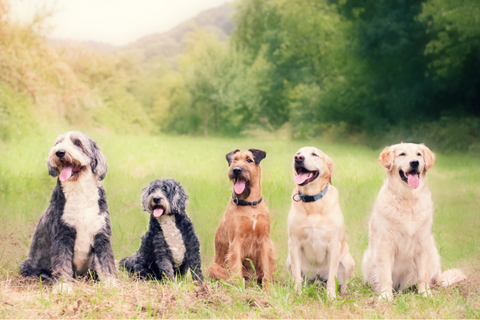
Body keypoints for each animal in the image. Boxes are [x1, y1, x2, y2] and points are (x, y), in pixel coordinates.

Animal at [19, 130, 117, 292]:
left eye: (77, 143)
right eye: (58, 143)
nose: (59, 152)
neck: (79, 190)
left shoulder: (101, 234)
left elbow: (106, 262)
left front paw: (111, 284)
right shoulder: (62, 235)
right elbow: (62, 264)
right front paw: (63, 288)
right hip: (27, 264)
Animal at [209, 149, 276, 284]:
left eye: (249, 160)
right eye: (234, 160)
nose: (236, 170)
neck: (250, 204)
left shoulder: (265, 240)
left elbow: (267, 270)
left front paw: (269, 288)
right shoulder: (236, 241)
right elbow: (236, 268)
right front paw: (239, 287)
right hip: (213, 267)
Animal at [284, 148, 356, 300]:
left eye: (314, 154)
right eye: (298, 152)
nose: (298, 158)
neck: (312, 201)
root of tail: (317, 278)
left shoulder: (334, 244)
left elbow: (332, 277)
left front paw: (331, 297)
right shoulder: (294, 243)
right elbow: (296, 275)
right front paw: (297, 293)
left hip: (347, 260)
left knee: (343, 282)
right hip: (289, 260)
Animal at [362, 142, 466, 300]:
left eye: (419, 154)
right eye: (402, 154)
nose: (415, 162)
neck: (407, 197)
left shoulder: (422, 243)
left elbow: (423, 275)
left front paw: (425, 293)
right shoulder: (385, 244)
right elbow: (385, 275)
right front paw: (386, 296)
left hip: (433, 253)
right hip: (367, 258)